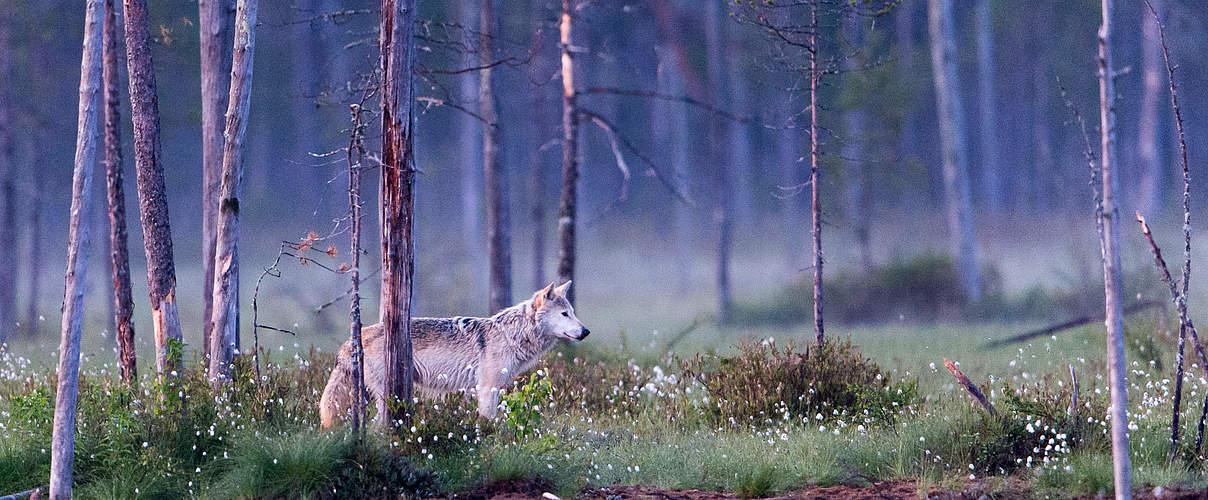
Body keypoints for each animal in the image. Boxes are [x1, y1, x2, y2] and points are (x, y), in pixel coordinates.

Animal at [318, 278, 587, 427]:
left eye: (573, 312)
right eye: (565, 314)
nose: (586, 331)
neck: (512, 335)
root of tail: (352, 339)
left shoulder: (494, 388)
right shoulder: (486, 388)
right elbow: (487, 422)